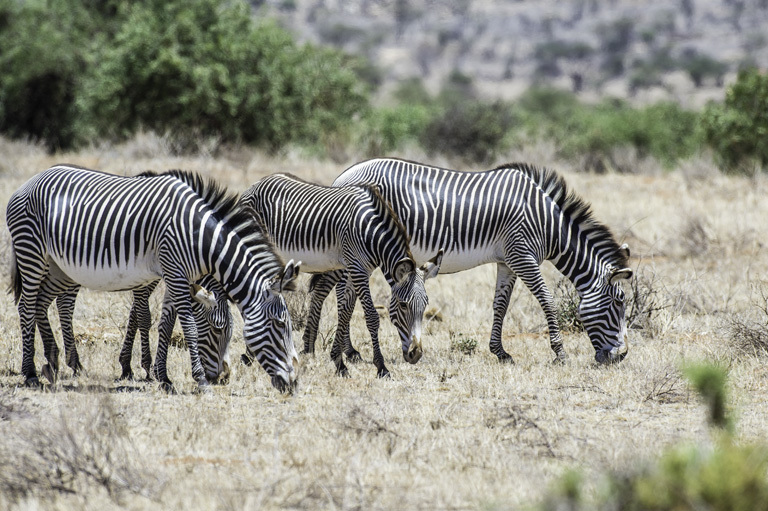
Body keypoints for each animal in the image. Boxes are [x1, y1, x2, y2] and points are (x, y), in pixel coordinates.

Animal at [9, 164, 304, 392]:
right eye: (280, 324)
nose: (293, 382)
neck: (200, 240)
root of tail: (29, 181)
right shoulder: (174, 273)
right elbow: (184, 326)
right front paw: (196, 380)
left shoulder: (176, 276)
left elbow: (165, 324)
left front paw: (162, 377)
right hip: (31, 251)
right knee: (27, 306)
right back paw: (31, 373)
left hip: (58, 266)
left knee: (42, 303)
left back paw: (54, 364)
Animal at [240, 174, 444, 378]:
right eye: (403, 305)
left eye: (425, 304)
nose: (415, 354)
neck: (371, 233)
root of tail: (255, 185)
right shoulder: (357, 268)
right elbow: (371, 316)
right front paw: (381, 366)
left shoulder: (358, 269)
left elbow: (345, 311)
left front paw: (339, 361)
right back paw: (250, 354)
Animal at [304, 158, 632, 366]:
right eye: (618, 303)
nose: (621, 356)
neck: (548, 223)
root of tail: (343, 176)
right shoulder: (523, 255)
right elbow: (547, 301)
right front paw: (559, 353)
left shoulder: (507, 261)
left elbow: (500, 304)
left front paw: (500, 352)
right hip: (358, 249)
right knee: (329, 291)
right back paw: (315, 348)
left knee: (342, 293)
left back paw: (347, 351)